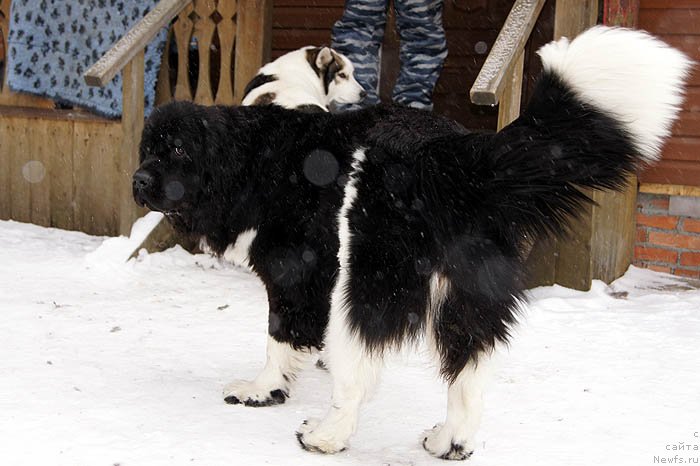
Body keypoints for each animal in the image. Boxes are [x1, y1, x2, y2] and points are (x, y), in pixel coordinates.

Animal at [131, 27, 688, 460]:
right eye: (147, 150)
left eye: (177, 150)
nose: (137, 181)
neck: (252, 160)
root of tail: (456, 157)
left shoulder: (298, 273)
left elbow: (279, 337)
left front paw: (261, 390)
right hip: (467, 292)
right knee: (470, 368)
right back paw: (449, 441)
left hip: (368, 280)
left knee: (361, 372)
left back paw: (326, 435)